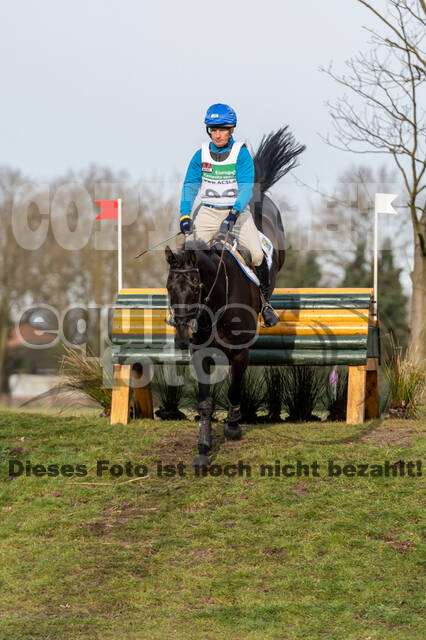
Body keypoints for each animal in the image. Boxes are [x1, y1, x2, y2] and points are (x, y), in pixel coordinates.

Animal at [165, 126, 304, 464]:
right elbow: (204, 403)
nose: (182, 336)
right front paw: (203, 449)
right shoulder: (201, 353)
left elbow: (235, 388)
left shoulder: (241, 352)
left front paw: (232, 427)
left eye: (196, 287)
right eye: (169, 288)